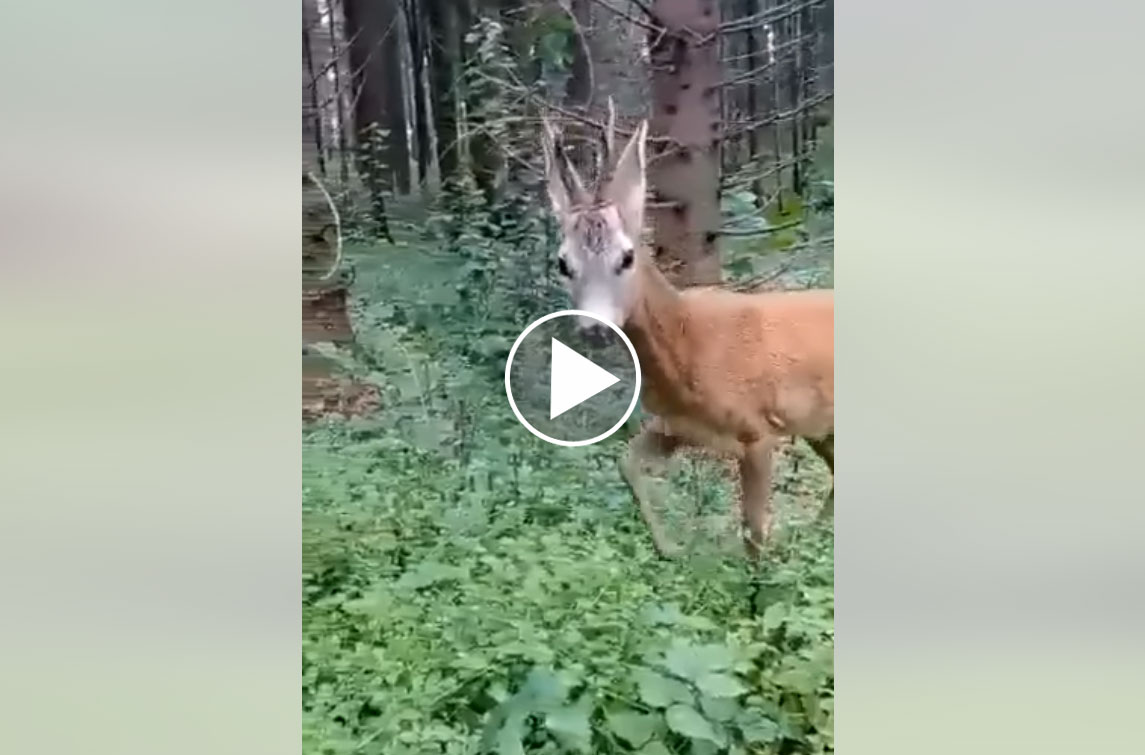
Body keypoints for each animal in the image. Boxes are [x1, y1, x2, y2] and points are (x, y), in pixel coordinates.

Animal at [535, 109, 833, 559]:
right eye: (562, 263)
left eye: (627, 257)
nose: (594, 329)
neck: (685, 346)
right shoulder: (675, 425)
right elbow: (626, 466)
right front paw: (668, 550)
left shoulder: (757, 430)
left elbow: (753, 533)